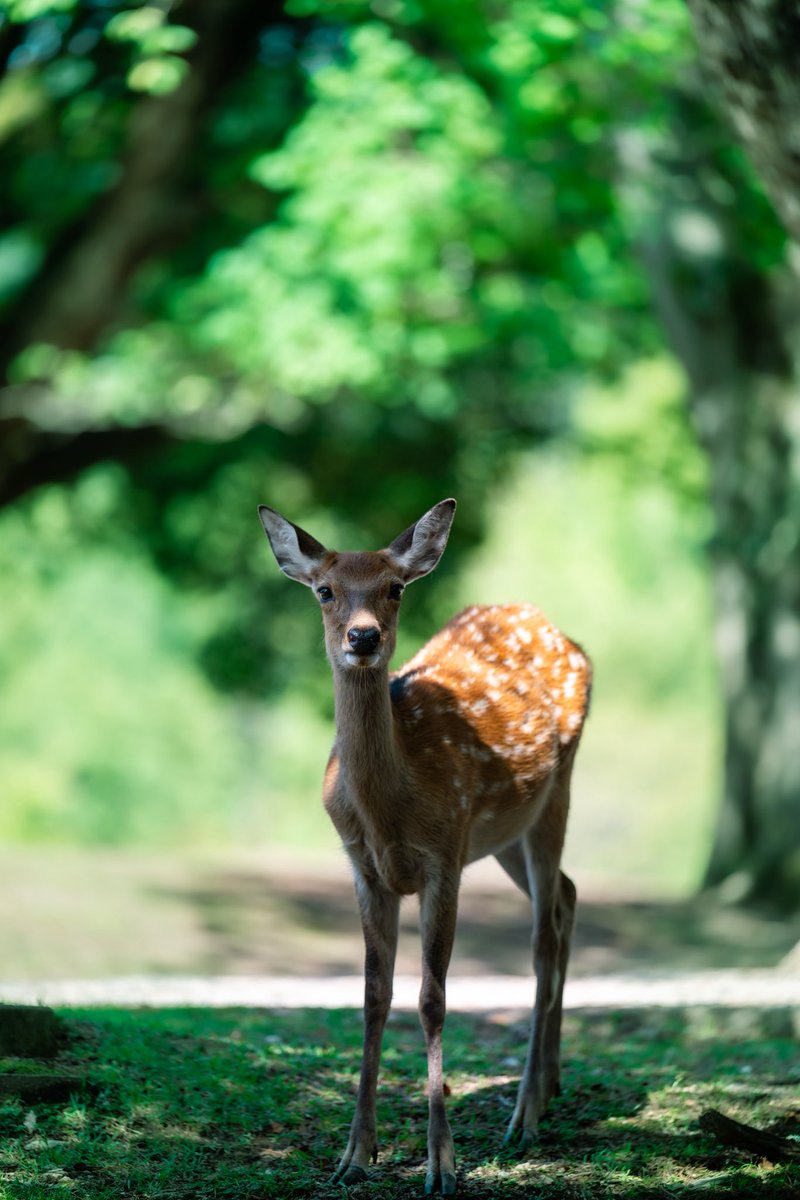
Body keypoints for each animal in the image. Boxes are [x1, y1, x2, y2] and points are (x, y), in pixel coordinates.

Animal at [257, 498, 591, 1195]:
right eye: (325, 590)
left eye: (395, 587)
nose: (362, 637)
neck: (391, 807)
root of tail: (561, 632)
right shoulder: (363, 866)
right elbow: (372, 997)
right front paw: (355, 1155)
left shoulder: (444, 856)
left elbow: (432, 1000)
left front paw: (442, 1165)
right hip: (505, 832)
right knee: (569, 896)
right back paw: (549, 1085)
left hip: (556, 790)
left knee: (543, 934)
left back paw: (524, 1113)